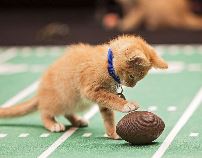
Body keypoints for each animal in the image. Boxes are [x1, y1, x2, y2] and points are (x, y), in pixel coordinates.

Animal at [0, 35, 167, 139]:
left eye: (138, 79)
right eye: (133, 77)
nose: (131, 86)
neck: (108, 65)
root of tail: (40, 93)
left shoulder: (100, 97)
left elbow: (107, 114)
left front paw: (112, 133)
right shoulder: (91, 90)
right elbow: (112, 99)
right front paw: (126, 105)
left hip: (75, 100)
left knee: (67, 111)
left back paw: (77, 120)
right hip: (61, 99)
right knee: (45, 112)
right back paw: (53, 124)